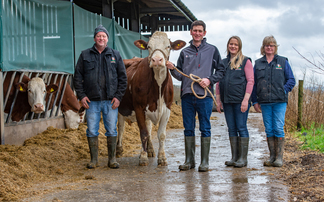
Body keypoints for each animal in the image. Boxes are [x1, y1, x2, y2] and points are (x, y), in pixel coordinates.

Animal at [117, 32, 186, 166]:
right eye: (148, 46)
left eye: (168, 46)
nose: (157, 60)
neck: (157, 86)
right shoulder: (139, 107)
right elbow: (143, 133)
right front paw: (143, 158)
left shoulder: (167, 109)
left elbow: (161, 134)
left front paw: (162, 157)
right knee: (120, 127)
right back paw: (119, 149)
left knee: (148, 128)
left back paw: (150, 150)